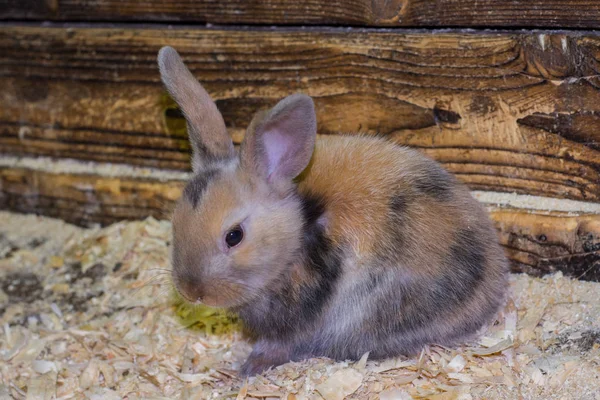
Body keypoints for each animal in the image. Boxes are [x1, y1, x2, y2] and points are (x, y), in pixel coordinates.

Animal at [157, 45, 508, 376]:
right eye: (175, 224)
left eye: (234, 236)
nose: (190, 291)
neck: (299, 232)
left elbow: (278, 346)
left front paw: (244, 370)